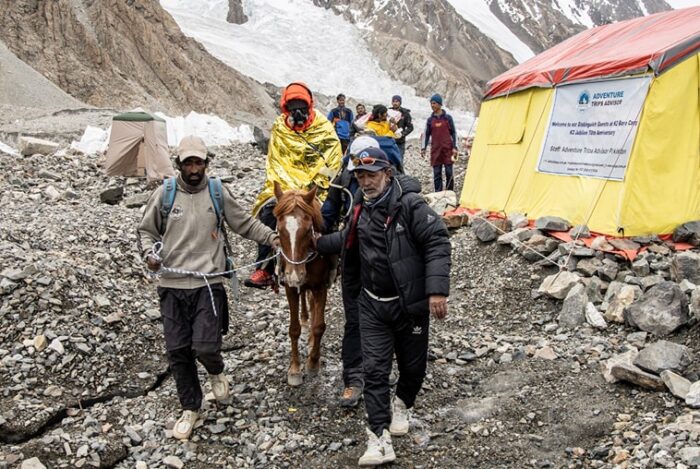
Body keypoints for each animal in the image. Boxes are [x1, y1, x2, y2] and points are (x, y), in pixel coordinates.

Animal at [270, 181, 330, 386]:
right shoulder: (290, 287)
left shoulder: (320, 286)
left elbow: (319, 326)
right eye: (279, 230)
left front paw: (313, 363)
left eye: (307, 229)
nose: (295, 275)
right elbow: (294, 329)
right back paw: (304, 318)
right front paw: (295, 370)